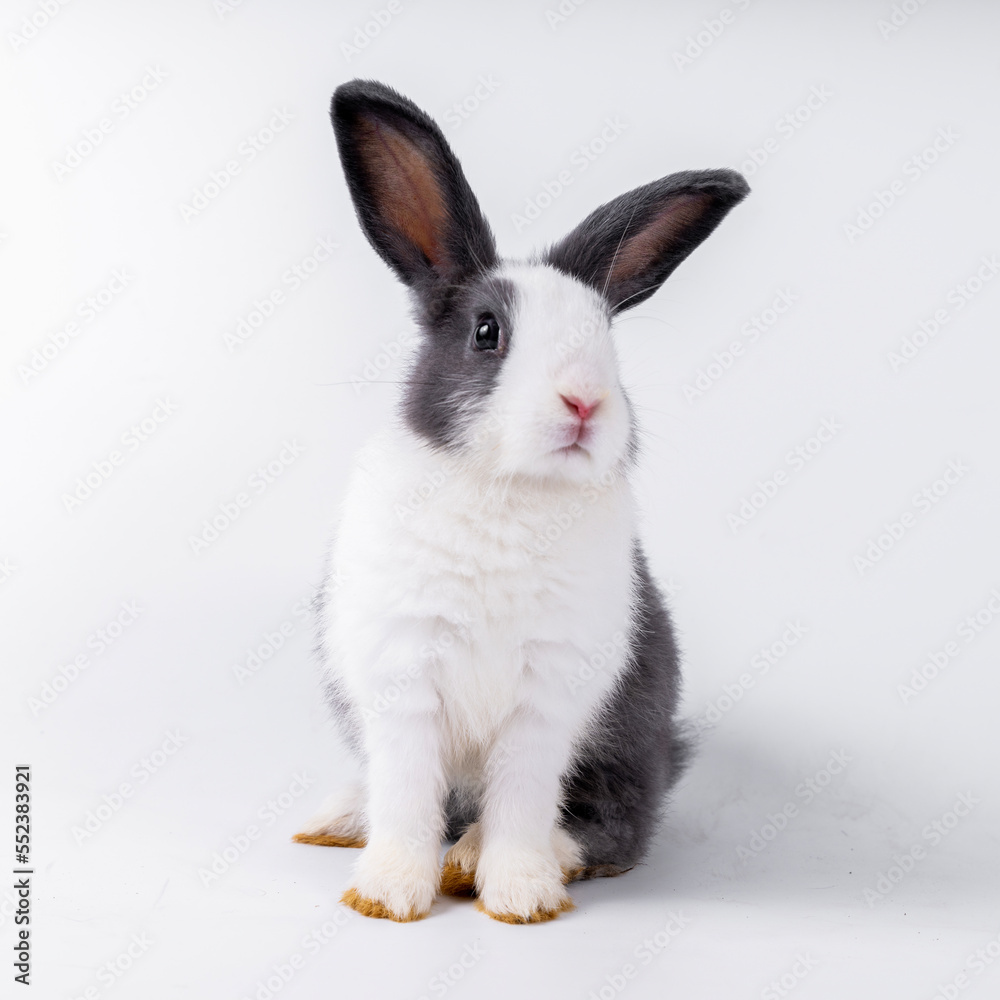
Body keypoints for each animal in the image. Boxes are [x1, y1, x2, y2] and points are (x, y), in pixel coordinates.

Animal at [294, 79, 749, 924]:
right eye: (486, 332)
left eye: (607, 343)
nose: (585, 402)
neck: (510, 491)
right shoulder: (403, 677)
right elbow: (408, 793)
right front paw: (388, 895)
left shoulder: (548, 697)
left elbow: (523, 799)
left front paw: (518, 896)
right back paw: (338, 819)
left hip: (627, 750)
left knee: (616, 825)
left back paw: (484, 858)